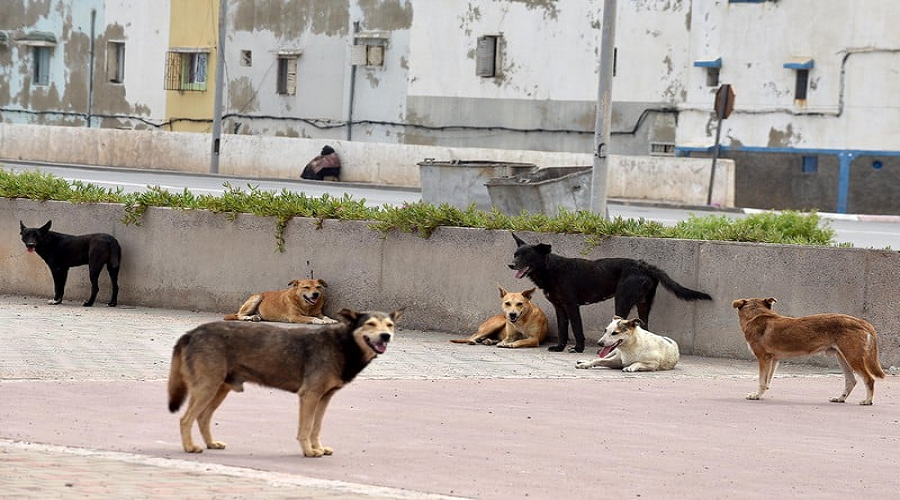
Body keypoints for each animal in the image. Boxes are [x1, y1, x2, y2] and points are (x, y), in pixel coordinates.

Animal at [171, 306, 402, 456]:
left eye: (389, 325)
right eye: (370, 324)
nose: (385, 336)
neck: (344, 345)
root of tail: (191, 333)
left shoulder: (324, 398)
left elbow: (316, 427)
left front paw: (317, 447)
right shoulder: (309, 396)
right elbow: (305, 428)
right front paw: (309, 451)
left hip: (219, 389)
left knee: (202, 418)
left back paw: (211, 444)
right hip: (207, 388)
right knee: (185, 419)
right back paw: (190, 447)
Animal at [732, 296, 884, 406]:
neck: (756, 315)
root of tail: (862, 322)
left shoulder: (763, 358)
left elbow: (762, 381)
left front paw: (756, 395)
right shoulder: (774, 360)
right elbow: (767, 382)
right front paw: (761, 394)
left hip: (852, 358)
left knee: (869, 379)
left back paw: (867, 401)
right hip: (842, 358)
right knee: (851, 381)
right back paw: (840, 398)